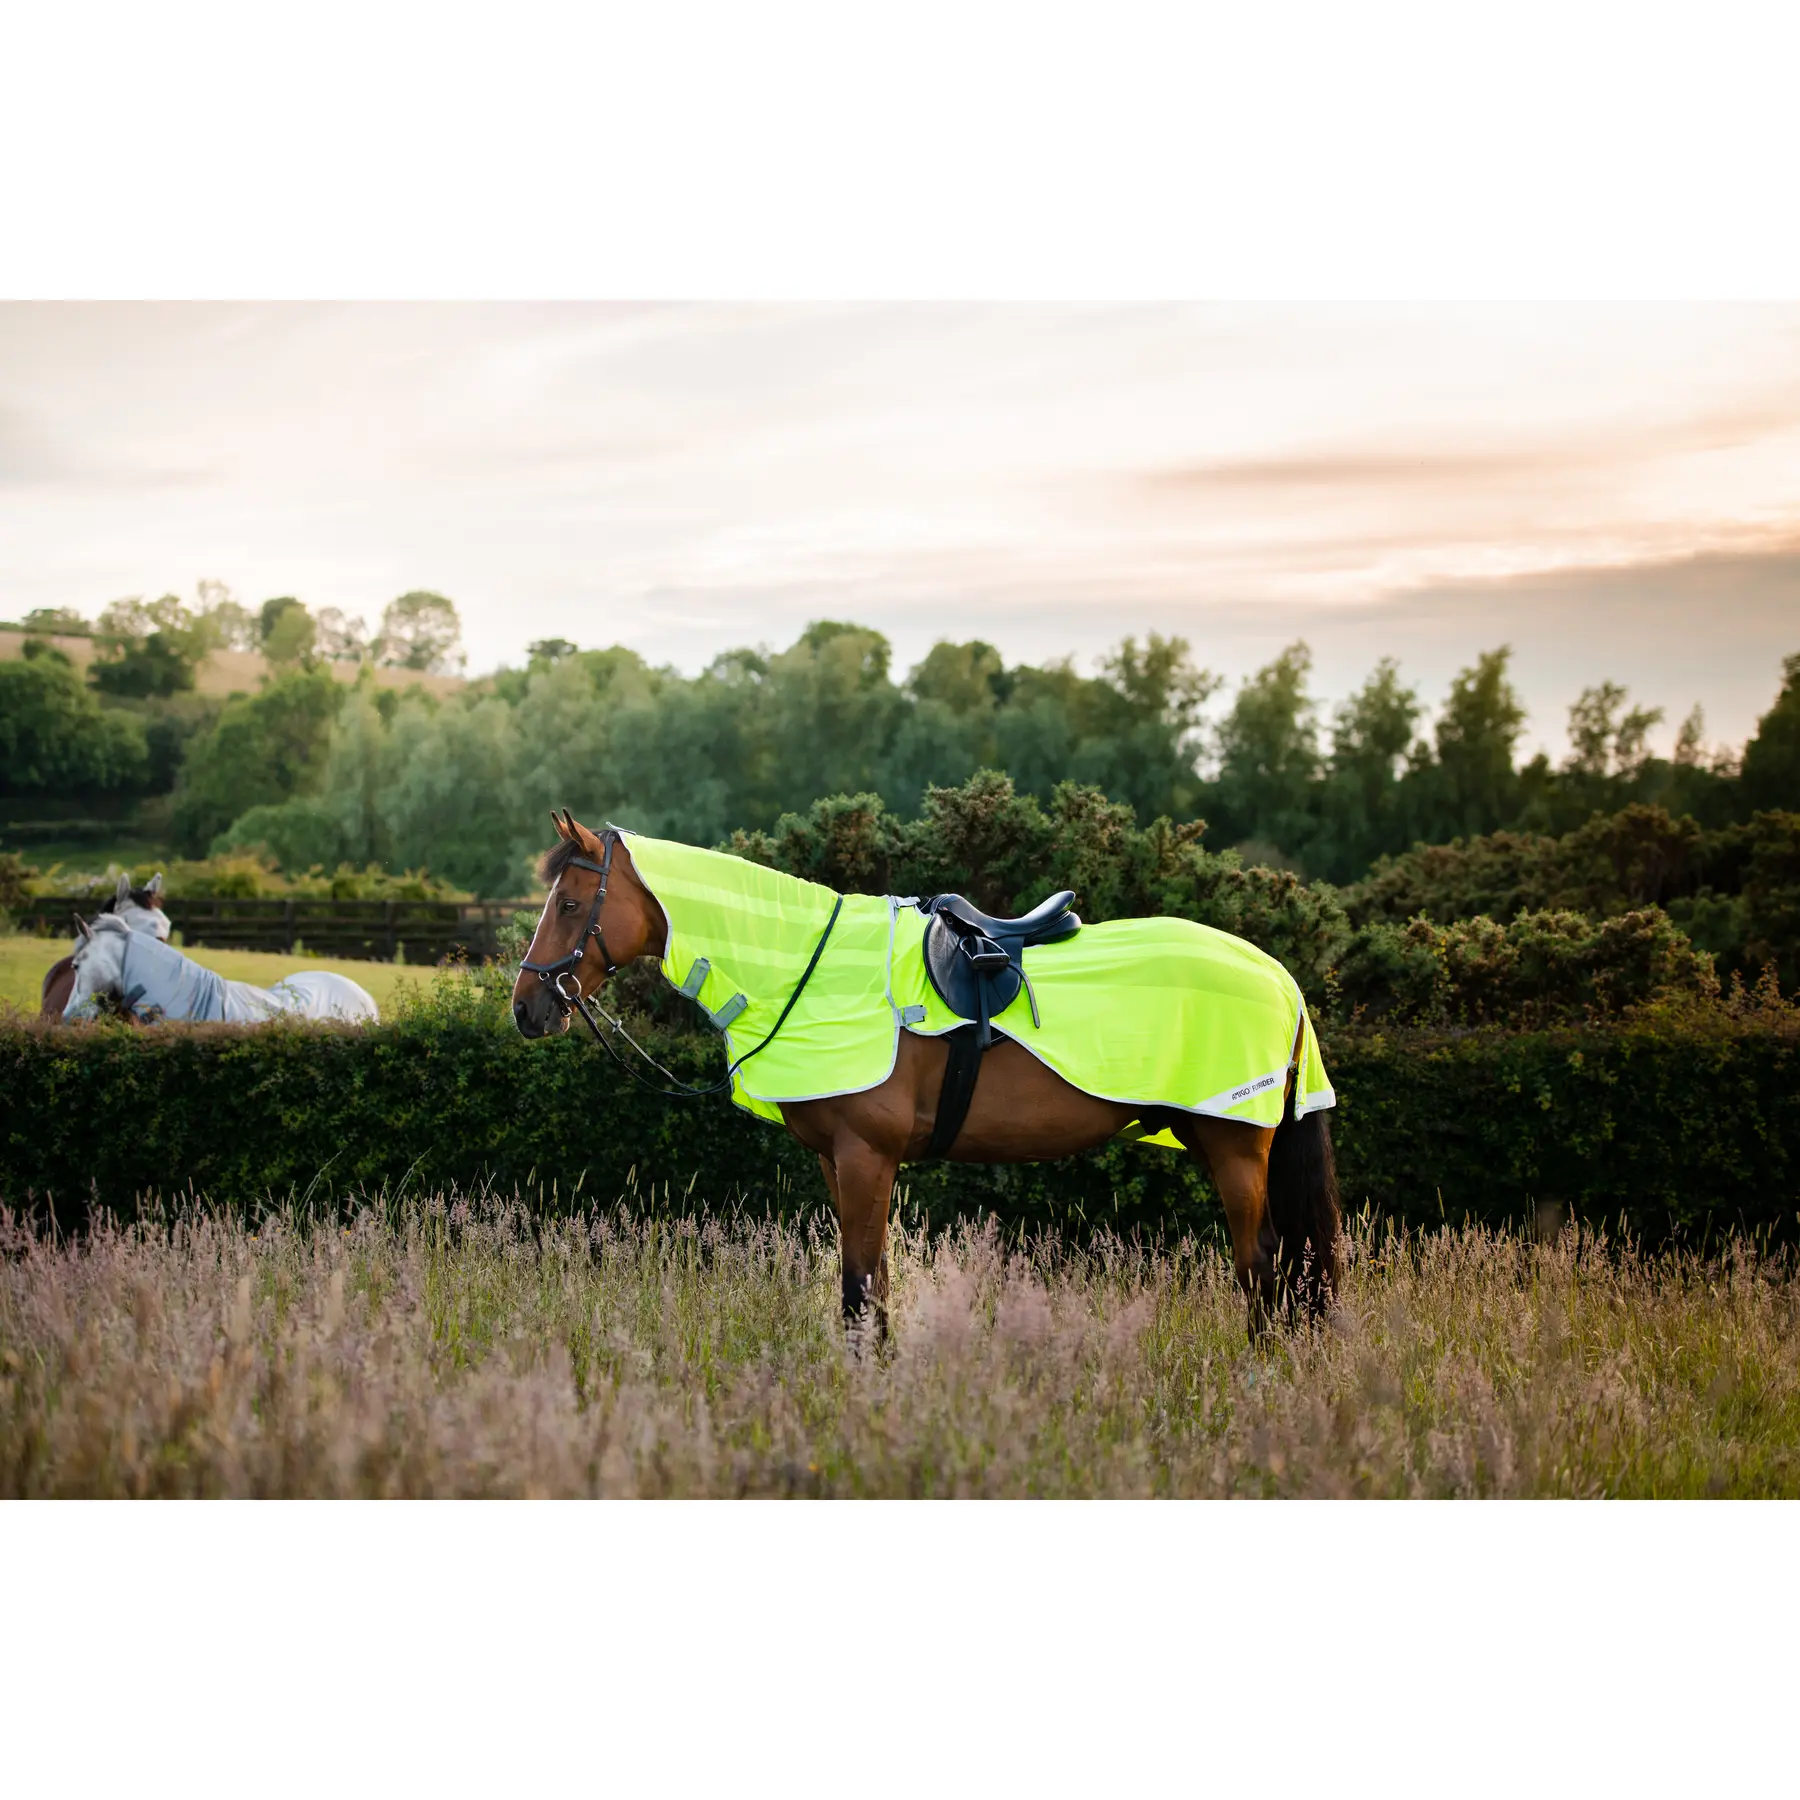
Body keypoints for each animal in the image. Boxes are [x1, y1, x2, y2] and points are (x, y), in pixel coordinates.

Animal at [512, 814, 1342, 1341]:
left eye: (573, 903)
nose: (527, 1008)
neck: (808, 968)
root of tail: (1277, 975)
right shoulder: (839, 1162)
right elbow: (871, 1288)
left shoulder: (866, 1157)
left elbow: (858, 1292)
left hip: (1233, 1146)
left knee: (1262, 1266)